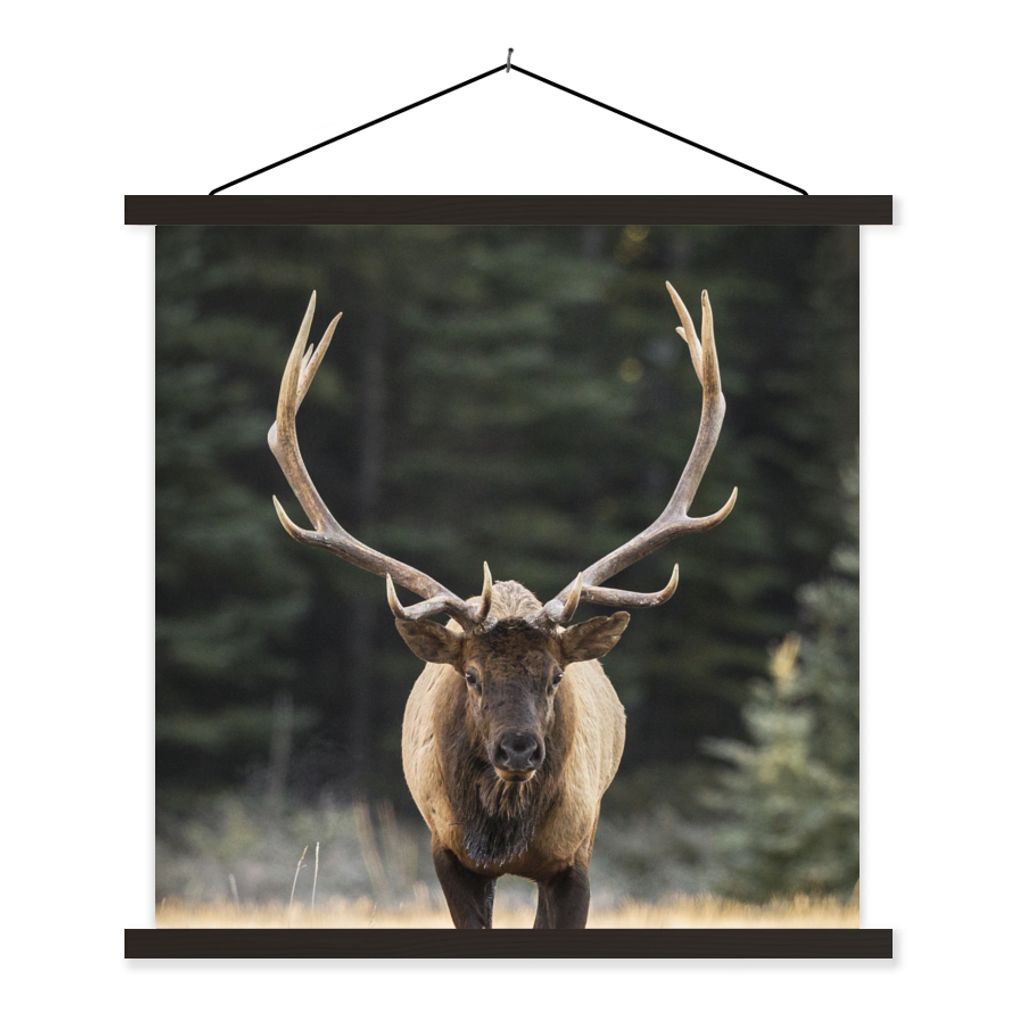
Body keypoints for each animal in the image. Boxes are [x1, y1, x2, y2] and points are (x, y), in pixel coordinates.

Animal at [268, 282, 737, 928]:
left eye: (556, 675)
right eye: (471, 675)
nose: (518, 748)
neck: (505, 835)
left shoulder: (574, 856)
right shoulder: (447, 851)